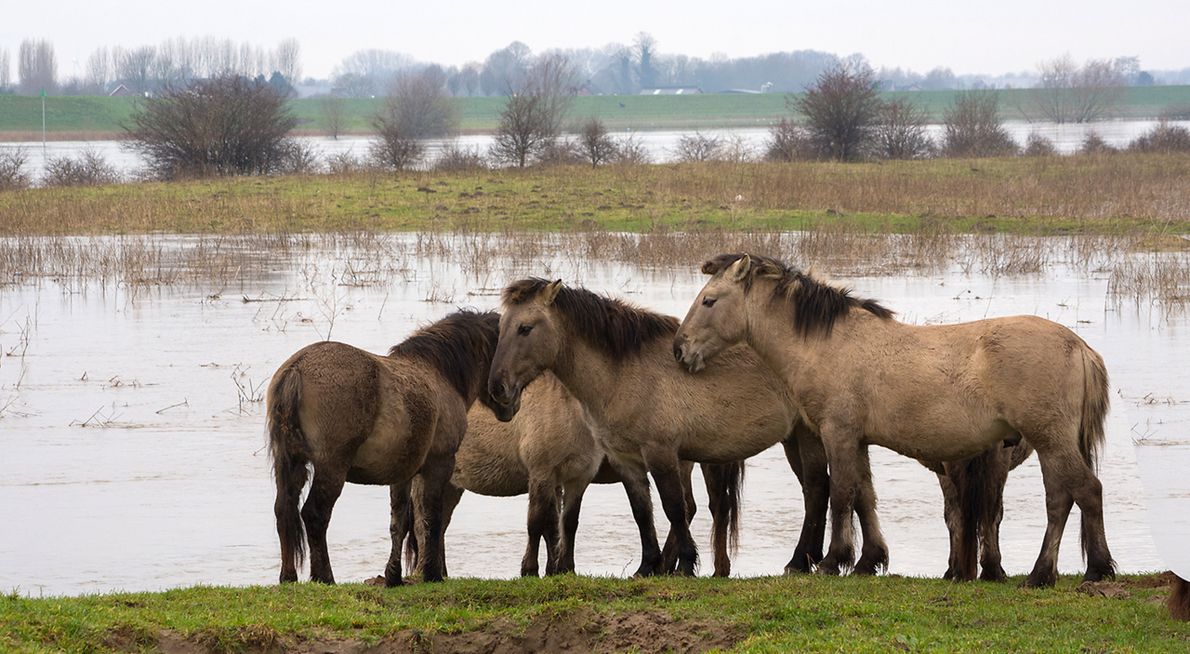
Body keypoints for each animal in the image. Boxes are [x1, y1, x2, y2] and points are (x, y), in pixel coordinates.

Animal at [268, 309, 502, 587]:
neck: (439, 374)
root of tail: (297, 369)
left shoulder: (402, 474)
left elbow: (398, 523)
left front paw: (394, 576)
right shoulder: (439, 464)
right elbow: (431, 519)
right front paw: (432, 573)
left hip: (290, 462)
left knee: (284, 511)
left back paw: (288, 577)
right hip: (331, 467)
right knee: (315, 515)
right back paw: (324, 578)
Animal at [487, 279, 890, 577]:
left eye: (525, 328)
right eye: (501, 328)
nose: (497, 388)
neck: (623, 371)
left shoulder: (662, 452)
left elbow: (674, 507)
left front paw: (683, 564)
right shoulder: (626, 459)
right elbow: (643, 511)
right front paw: (648, 566)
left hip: (814, 434)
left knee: (823, 489)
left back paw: (808, 561)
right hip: (802, 436)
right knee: (826, 490)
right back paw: (826, 560)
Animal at [680, 255, 1113, 589]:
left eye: (709, 301)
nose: (679, 350)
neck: (827, 344)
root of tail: (1081, 347)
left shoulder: (837, 433)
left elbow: (841, 495)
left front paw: (831, 562)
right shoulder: (858, 440)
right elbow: (865, 497)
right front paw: (867, 561)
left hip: (1050, 439)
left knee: (1084, 491)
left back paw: (1091, 570)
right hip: (1050, 443)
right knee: (1061, 498)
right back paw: (1046, 573)